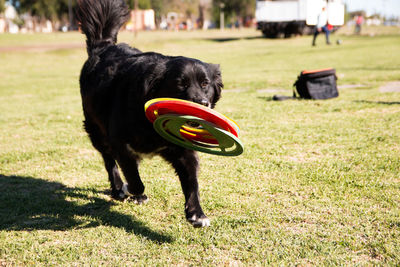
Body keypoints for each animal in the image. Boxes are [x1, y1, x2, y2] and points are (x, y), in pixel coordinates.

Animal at [76, 0, 223, 228]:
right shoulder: (120, 143)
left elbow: (192, 182)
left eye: (205, 84)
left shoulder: (183, 151)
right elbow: (135, 180)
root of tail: (104, 45)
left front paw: (196, 213)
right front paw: (129, 189)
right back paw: (119, 188)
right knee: (109, 161)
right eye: (180, 85)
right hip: (96, 130)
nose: (202, 103)